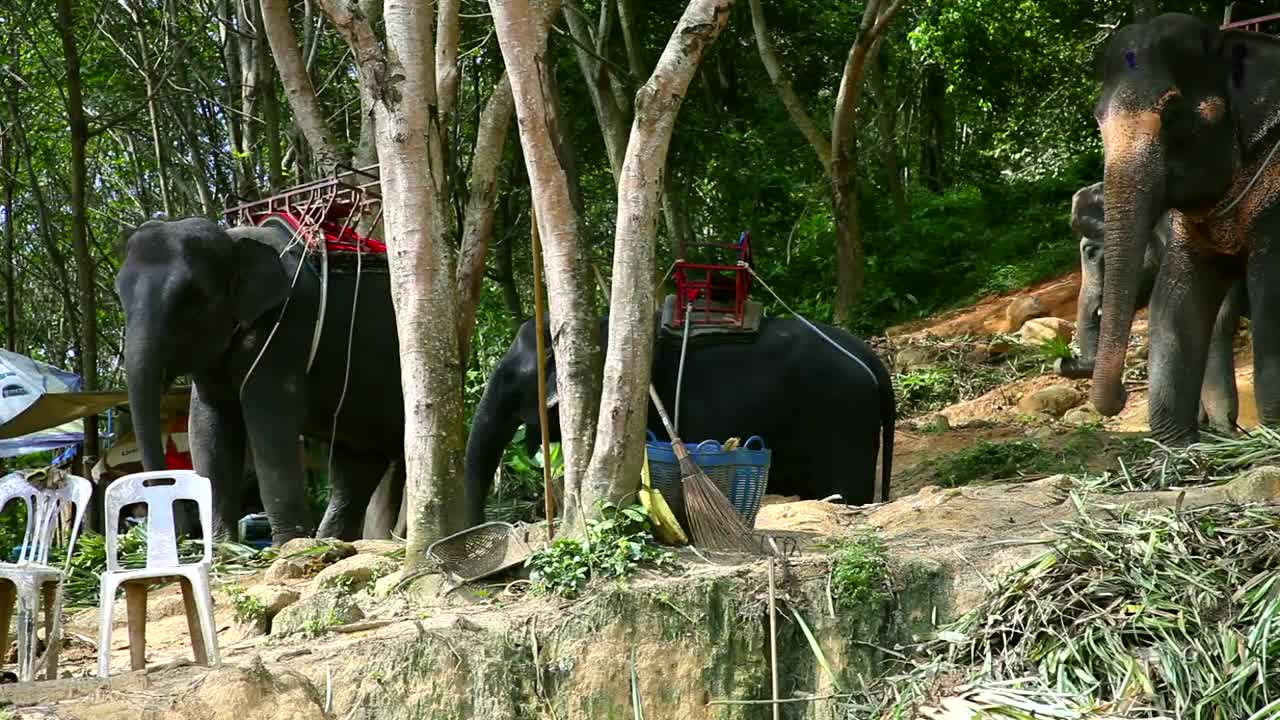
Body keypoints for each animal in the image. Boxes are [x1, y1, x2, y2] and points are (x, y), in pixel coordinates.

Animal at [114, 216, 405, 545]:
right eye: (119, 296)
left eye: (191, 299)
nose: (182, 536)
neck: (234, 240)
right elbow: (209, 425)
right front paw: (224, 546)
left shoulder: (287, 328)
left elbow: (270, 421)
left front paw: (288, 545)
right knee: (356, 466)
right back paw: (331, 541)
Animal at [1087, 13, 1280, 444]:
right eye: (1097, 119)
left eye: (1173, 112)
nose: (1121, 394)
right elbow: (1175, 295)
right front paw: (1177, 447)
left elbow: (1270, 294)